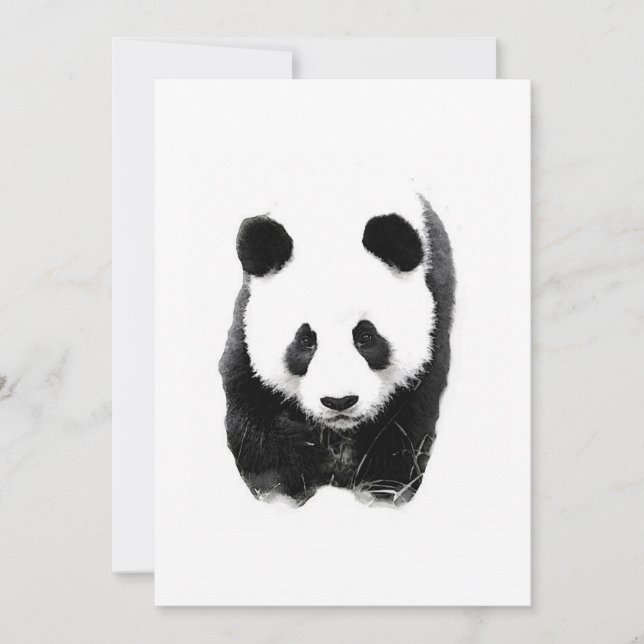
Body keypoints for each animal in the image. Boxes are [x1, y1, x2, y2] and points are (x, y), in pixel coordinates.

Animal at [219, 193, 455, 506]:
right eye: (305, 340)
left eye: (366, 337)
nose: (339, 401)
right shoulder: (245, 331)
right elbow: (254, 425)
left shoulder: (434, 324)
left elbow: (405, 428)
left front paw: (378, 490)